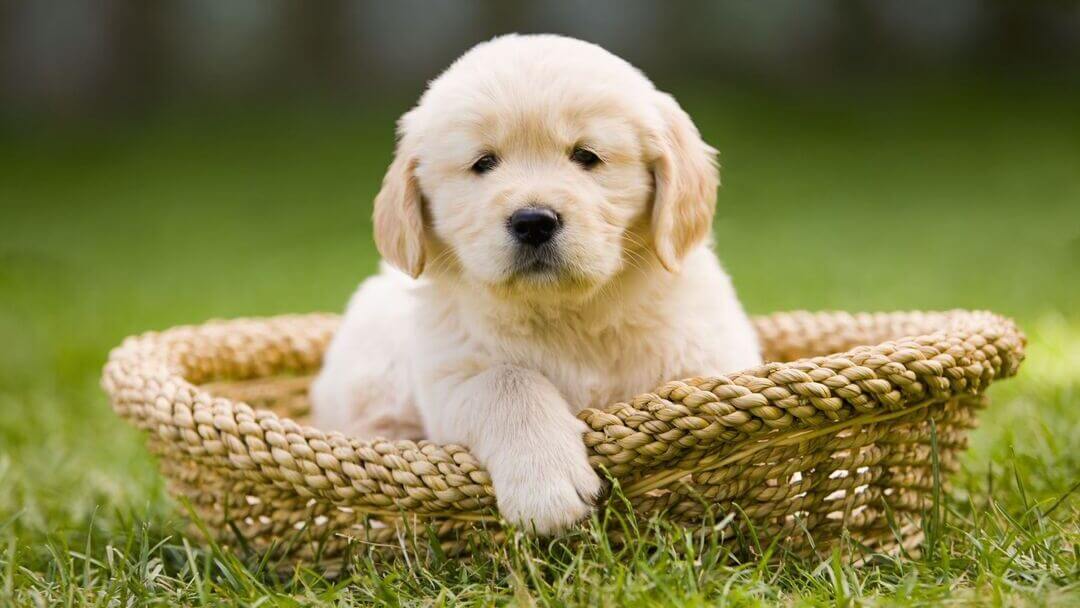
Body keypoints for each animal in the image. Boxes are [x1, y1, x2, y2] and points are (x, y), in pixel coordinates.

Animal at [311, 33, 760, 535]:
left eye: (586, 156)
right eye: (483, 163)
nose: (533, 221)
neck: (568, 314)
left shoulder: (709, 350)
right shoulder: (449, 374)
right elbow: (507, 381)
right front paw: (547, 486)